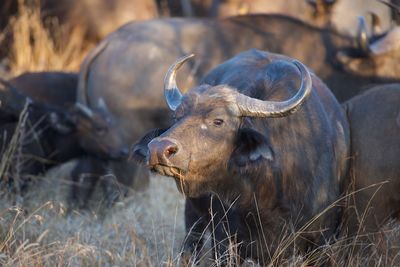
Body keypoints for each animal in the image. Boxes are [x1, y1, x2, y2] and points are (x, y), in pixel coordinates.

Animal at [132, 49, 350, 264]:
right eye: (176, 117)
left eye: (218, 121)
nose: (158, 148)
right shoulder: (224, 240)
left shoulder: (322, 239)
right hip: (194, 215)